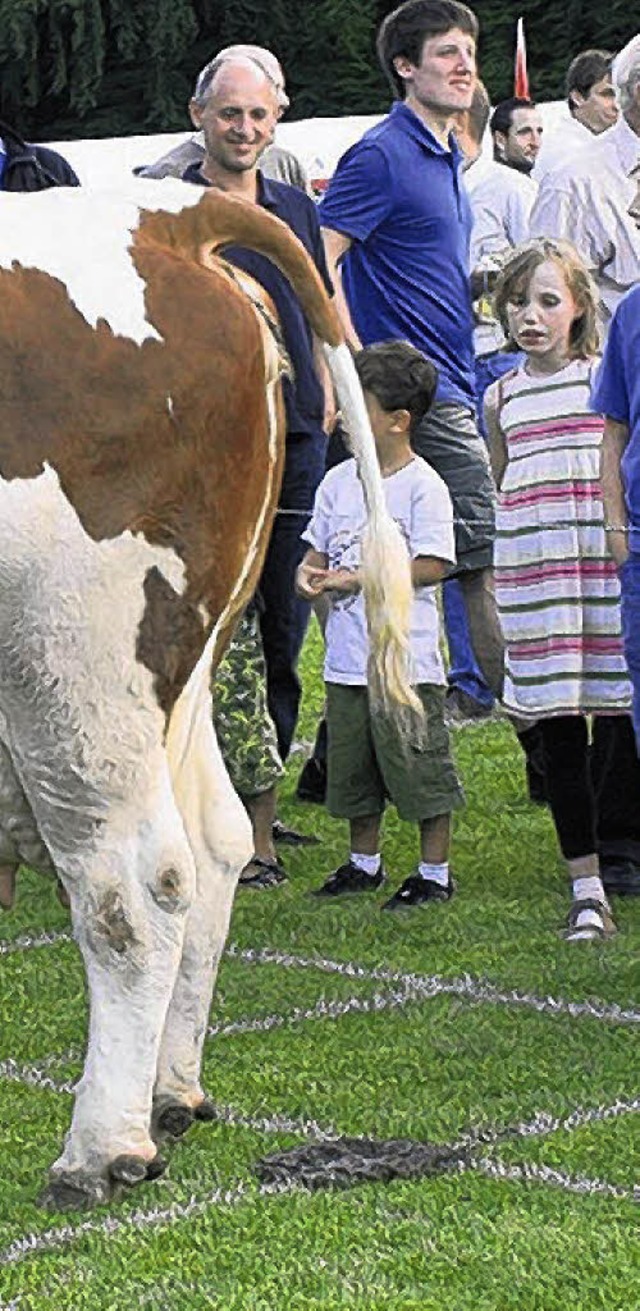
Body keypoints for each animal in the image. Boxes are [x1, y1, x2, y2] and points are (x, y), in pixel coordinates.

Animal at [0, 182, 414, 1206]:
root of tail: (166, 217)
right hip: (182, 671)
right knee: (218, 839)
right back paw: (169, 1095)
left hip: (77, 668)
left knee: (137, 883)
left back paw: (100, 1149)